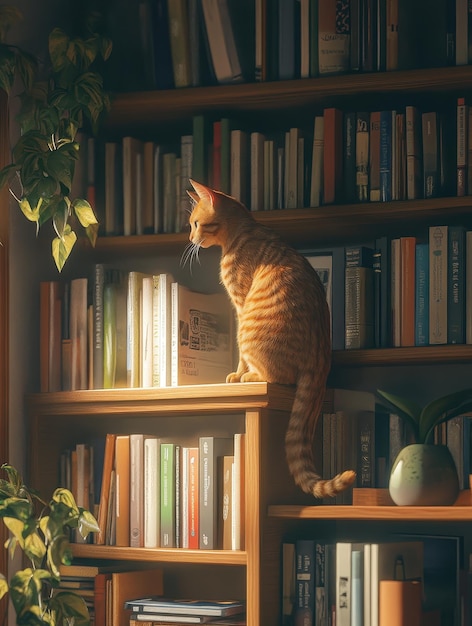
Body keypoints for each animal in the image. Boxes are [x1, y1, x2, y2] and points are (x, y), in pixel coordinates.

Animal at [186, 179, 356, 498]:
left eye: (195, 223)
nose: (189, 237)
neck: (241, 232)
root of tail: (320, 357)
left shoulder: (240, 304)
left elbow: (239, 355)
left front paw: (237, 374)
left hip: (252, 330)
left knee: (277, 376)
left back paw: (250, 377)